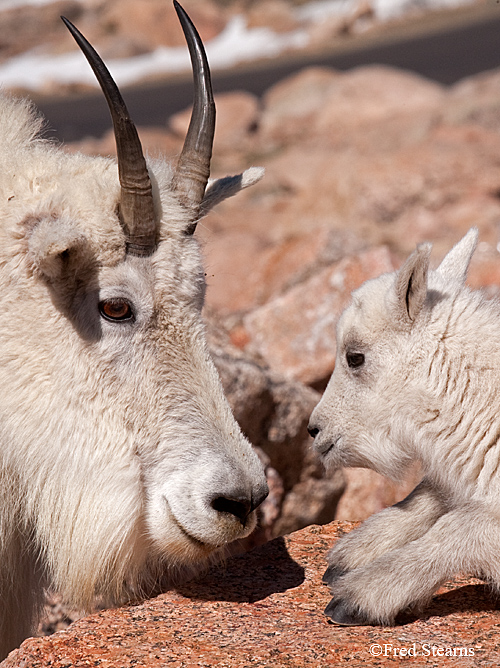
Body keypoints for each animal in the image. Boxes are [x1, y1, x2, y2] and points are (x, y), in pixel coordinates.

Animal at [308, 228, 500, 626]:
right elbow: (430, 494)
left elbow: (458, 527)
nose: (314, 430)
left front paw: (361, 595)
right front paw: (352, 553)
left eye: (355, 357)